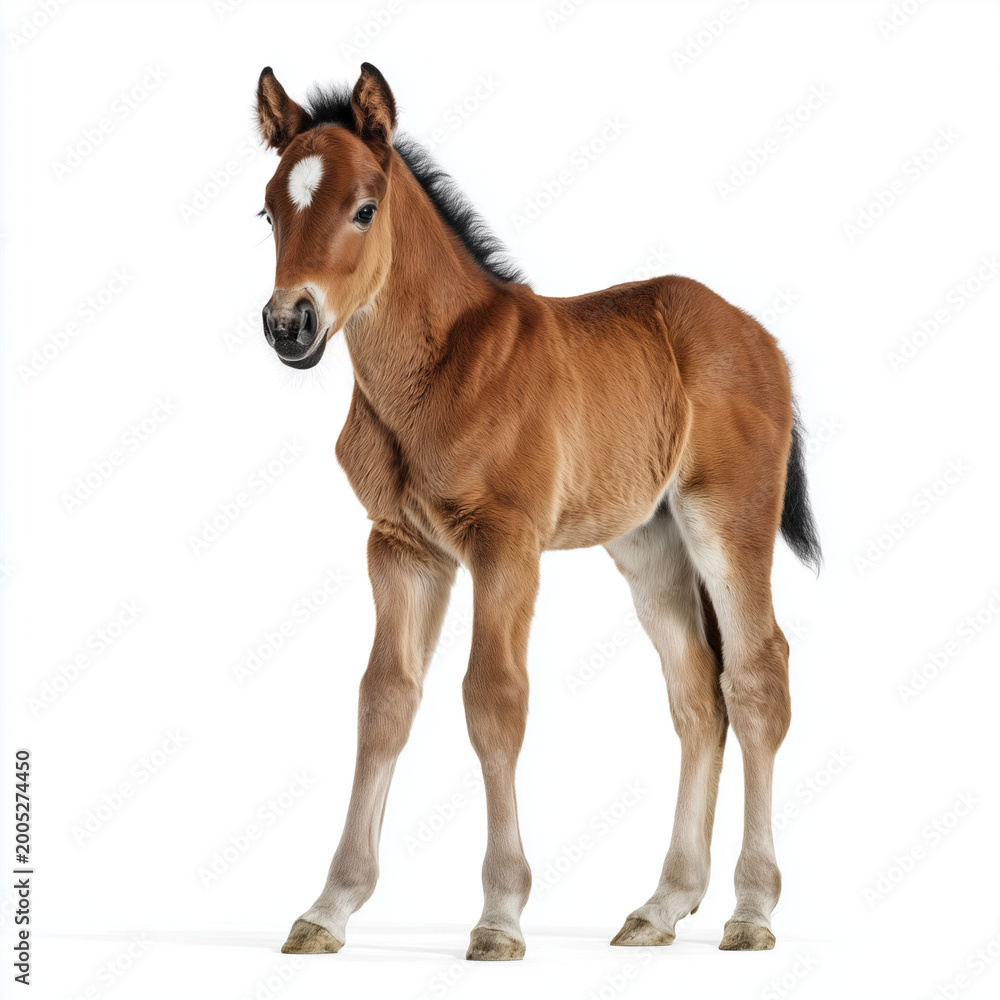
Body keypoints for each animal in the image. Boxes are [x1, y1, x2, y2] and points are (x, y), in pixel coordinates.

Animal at [254, 62, 820, 961]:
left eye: (364, 208)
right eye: (270, 211)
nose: (288, 325)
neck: (438, 369)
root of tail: (762, 338)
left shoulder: (505, 544)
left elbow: (494, 699)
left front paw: (499, 916)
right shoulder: (401, 547)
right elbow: (384, 701)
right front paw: (329, 908)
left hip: (727, 518)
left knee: (758, 674)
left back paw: (752, 911)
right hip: (649, 544)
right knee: (698, 695)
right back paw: (661, 906)